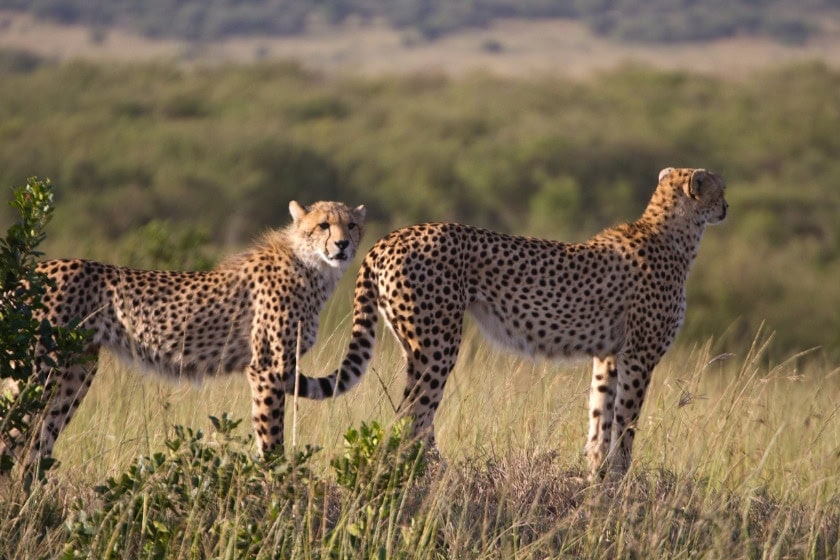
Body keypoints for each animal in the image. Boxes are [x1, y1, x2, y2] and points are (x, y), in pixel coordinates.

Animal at [3, 201, 364, 464]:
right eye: (323, 225)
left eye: (352, 225)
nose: (343, 244)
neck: (312, 265)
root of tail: (31, 271)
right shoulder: (267, 368)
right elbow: (270, 434)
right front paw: (275, 479)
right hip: (38, 373)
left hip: (75, 372)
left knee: (35, 446)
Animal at [286, 167, 724, 482]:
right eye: (719, 189)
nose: (727, 207)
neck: (671, 233)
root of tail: (387, 238)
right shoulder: (639, 357)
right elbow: (626, 424)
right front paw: (621, 481)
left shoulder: (608, 356)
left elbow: (599, 419)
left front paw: (596, 479)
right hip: (438, 343)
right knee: (412, 415)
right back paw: (432, 477)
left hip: (418, 344)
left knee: (413, 414)